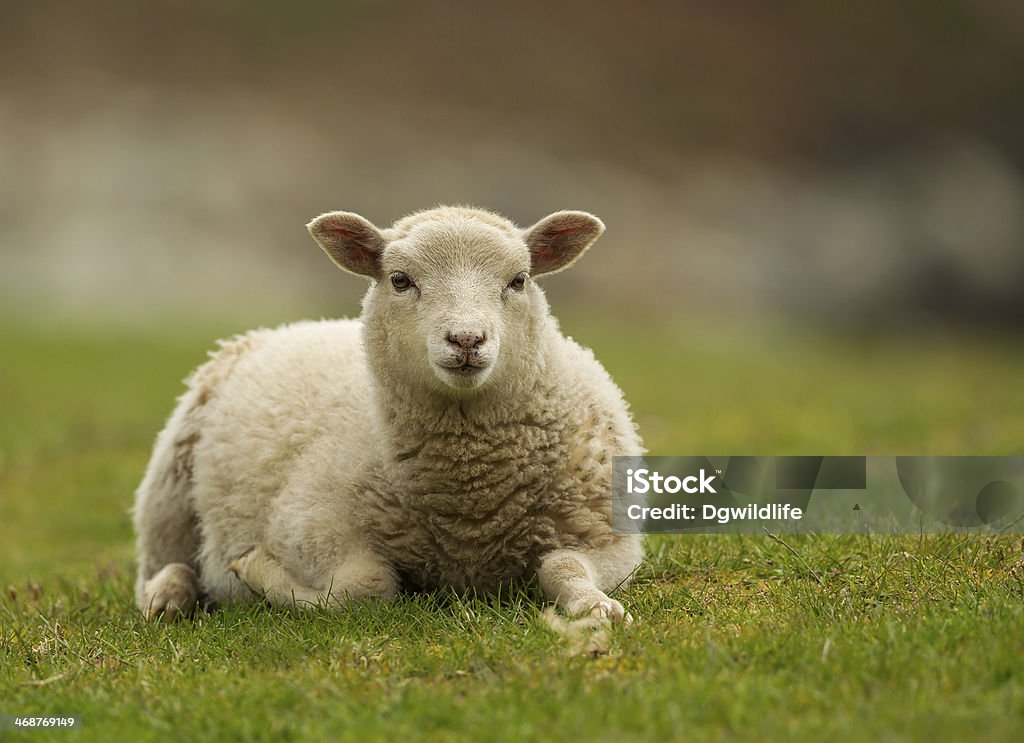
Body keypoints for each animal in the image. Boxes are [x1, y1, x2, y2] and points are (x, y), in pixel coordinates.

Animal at [132, 206, 643, 626]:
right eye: (400, 280)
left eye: (519, 280)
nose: (466, 339)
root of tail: (287, 326)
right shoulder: (308, 527)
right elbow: (368, 586)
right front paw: (254, 569)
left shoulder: (608, 538)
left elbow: (564, 566)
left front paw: (595, 606)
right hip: (168, 488)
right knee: (164, 563)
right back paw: (168, 597)